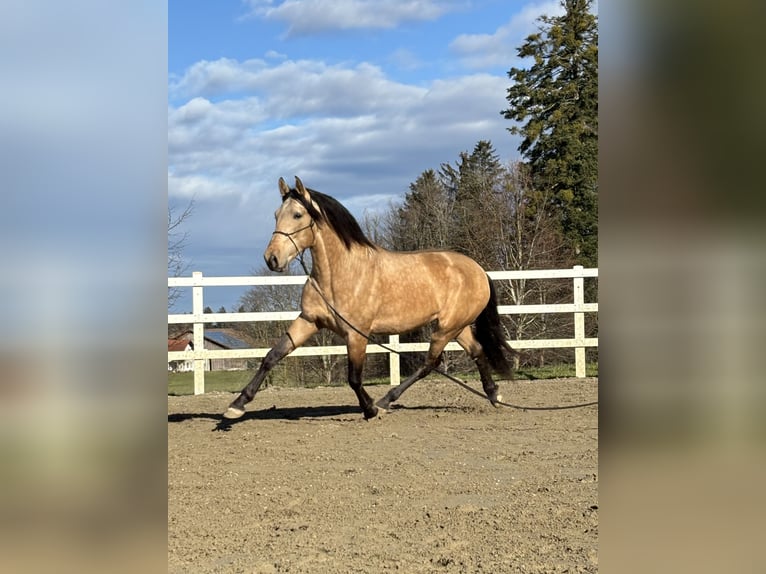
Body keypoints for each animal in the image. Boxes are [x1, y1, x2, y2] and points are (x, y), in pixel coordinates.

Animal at [225, 177, 520, 424]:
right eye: (276, 215)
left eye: (297, 215)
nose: (271, 259)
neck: (340, 274)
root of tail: (478, 270)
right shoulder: (309, 321)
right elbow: (272, 356)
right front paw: (236, 406)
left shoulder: (357, 335)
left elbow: (354, 378)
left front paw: (370, 409)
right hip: (457, 327)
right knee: (476, 351)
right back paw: (494, 395)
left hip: (447, 328)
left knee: (430, 363)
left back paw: (386, 400)